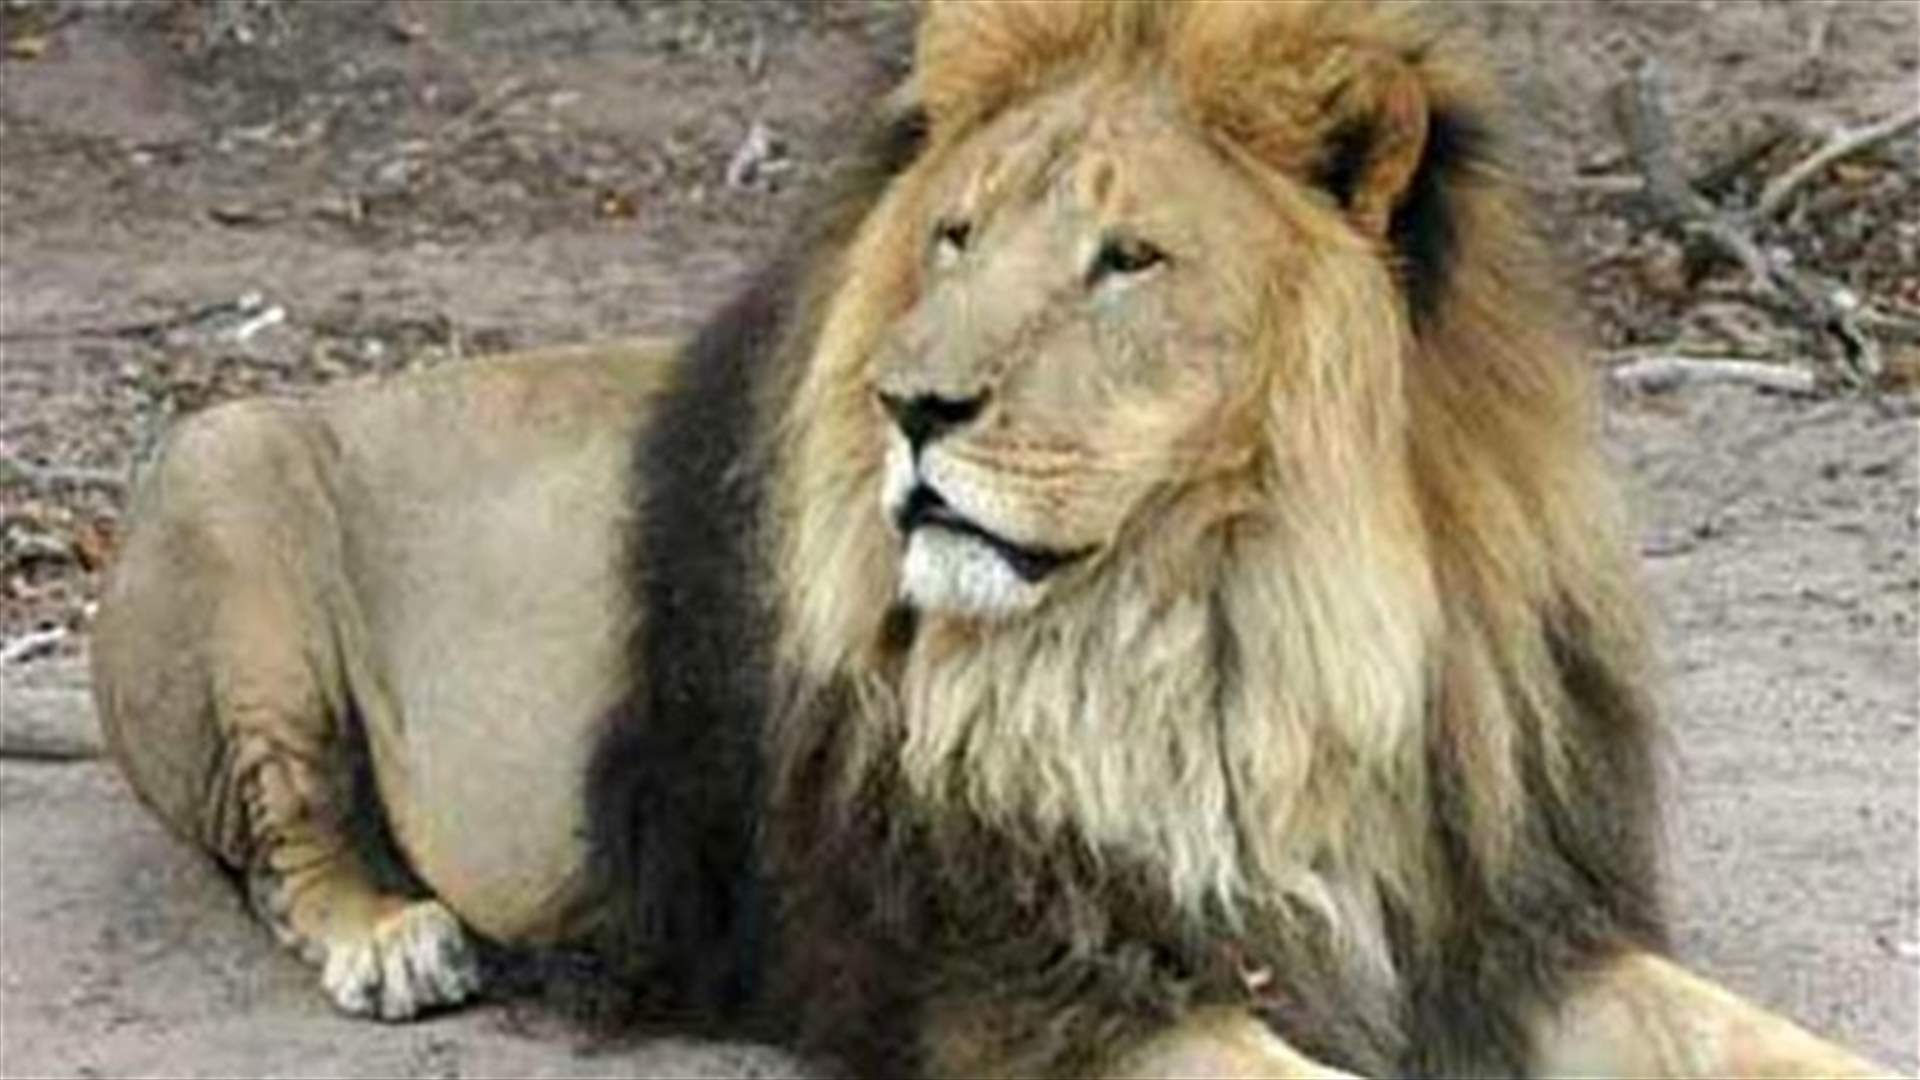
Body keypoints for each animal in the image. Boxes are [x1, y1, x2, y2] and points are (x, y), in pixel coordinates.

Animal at [92, 2, 1888, 1076]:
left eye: (1125, 260)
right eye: (955, 236)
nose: (909, 405)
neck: (1251, 631)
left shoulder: (1501, 922)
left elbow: (1762, 1044)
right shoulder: (1029, 978)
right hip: (226, 480)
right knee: (280, 846)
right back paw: (393, 938)